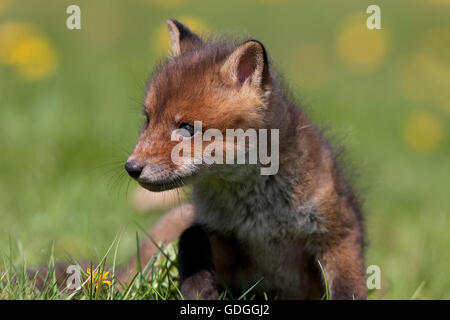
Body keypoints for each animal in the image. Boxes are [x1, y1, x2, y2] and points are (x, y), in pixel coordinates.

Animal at [122, 19, 366, 300]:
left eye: (187, 128)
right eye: (148, 119)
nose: (131, 167)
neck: (260, 215)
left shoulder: (338, 233)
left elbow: (348, 287)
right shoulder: (227, 241)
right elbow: (191, 236)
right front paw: (199, 290)